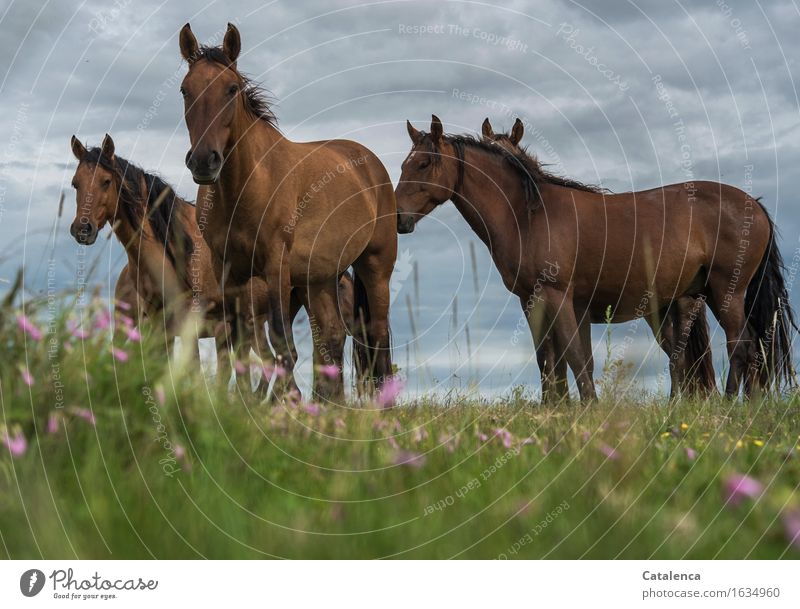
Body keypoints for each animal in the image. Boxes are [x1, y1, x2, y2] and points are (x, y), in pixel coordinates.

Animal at [178, 22, 396, 404]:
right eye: (185, 90)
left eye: (231, 89)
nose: (204, 161)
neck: (245, 186)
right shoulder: (229, 271)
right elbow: (237, 344)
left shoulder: (276, 266)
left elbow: (282, 347)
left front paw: (280, 402)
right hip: (317, 279)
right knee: (332, 336)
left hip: (375, 268)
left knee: (378, 340)